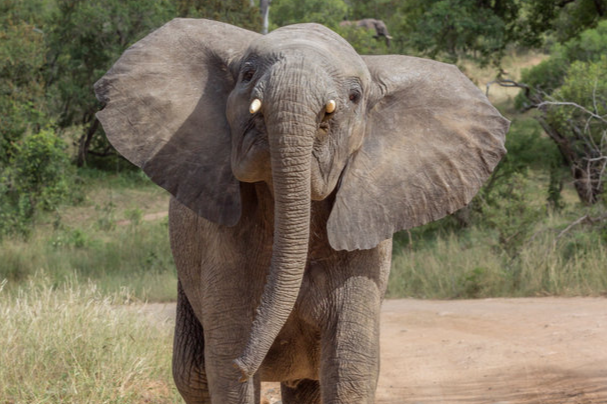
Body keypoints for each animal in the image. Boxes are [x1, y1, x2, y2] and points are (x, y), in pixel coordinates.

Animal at [94, 18, 508, 404]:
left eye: (355, 96)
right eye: (247, 74)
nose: (246, 365)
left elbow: (351, 367)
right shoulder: (221, 245)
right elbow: (226, 362)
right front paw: (238, 369)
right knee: (193, 375)